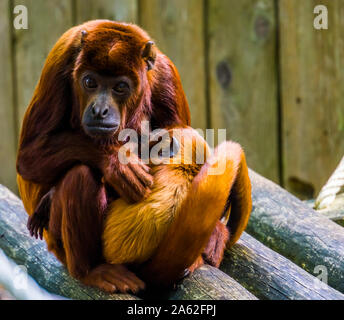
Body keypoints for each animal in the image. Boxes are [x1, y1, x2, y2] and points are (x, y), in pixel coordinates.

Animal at [16, 20, 251, 294]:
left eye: (120, 87)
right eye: (89, 82)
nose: (100, 110)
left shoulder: (165, 74)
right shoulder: (60, 61)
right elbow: (29, 156)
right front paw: (116, 164)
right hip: (58, 244)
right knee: (81, 175)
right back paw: (91, 271)